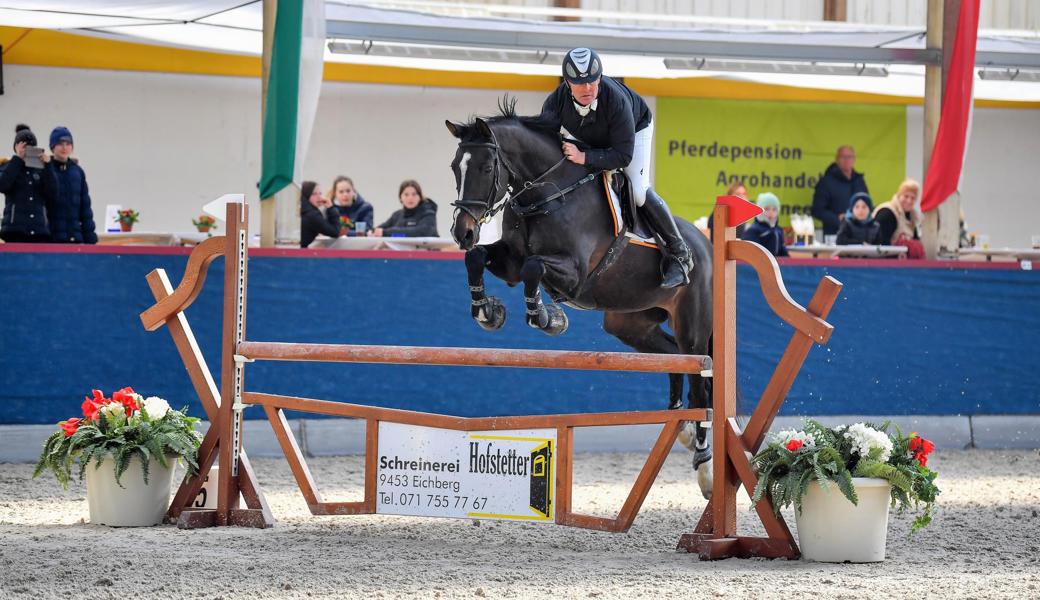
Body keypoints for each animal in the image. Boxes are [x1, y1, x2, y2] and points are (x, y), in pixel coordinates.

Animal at [443, 100, 719, 494]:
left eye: (486, 167)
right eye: (455, 167)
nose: (461, 232)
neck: (544, 195)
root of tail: (706, 244)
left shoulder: (574, 272)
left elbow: (533, 269)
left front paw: (547, 318)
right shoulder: (510, 261)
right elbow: (478, 258)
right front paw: (487, 311)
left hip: (692, 325)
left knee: (700, 382)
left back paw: (705, 467)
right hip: (630, 324)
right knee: (673, 359)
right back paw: (679, 426)